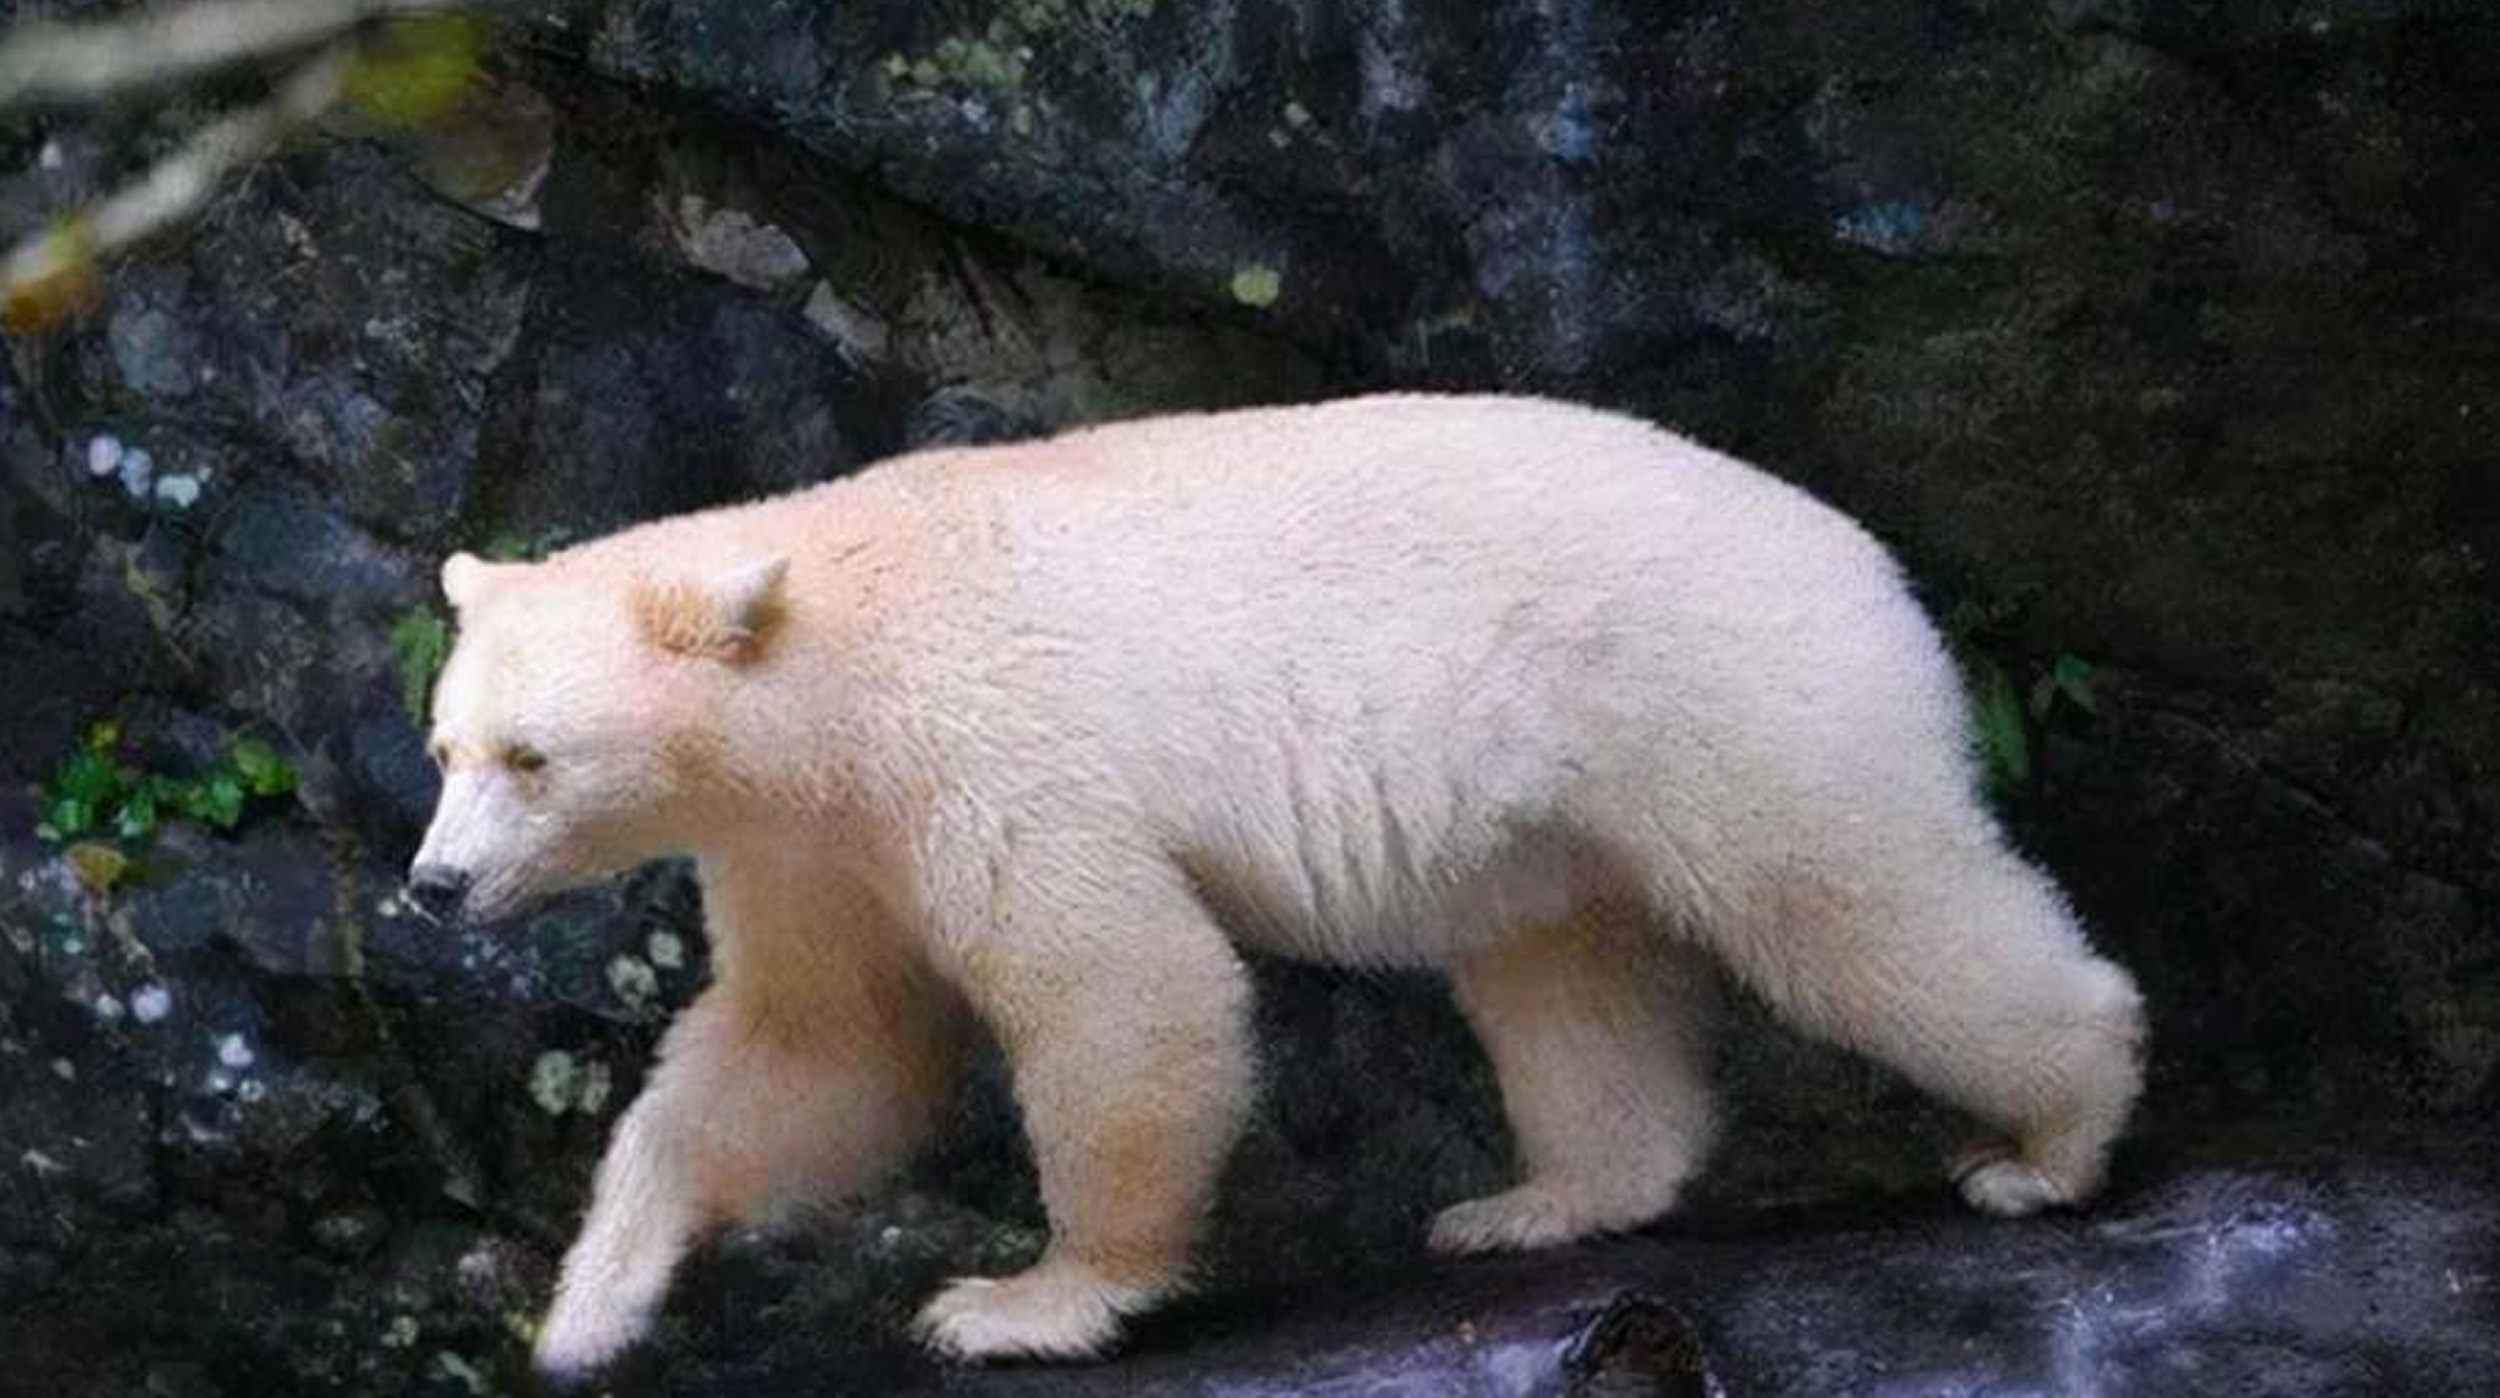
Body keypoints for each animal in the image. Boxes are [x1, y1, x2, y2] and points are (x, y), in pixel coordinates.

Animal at [405, 393, 2146, 1379]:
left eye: (533, 756)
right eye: (444, 744)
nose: (431, 884)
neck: (833, 648)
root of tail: (1869, 560)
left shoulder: (983, 750)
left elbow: (1121, 985)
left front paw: (1022, 1301)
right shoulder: (813, 845)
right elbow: (816, 1044)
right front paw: (589, 1306)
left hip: (1725, 689)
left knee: (1854, 899)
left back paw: (2050, 1137)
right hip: (1561, 796)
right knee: (1564, 965)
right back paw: (1537, 1200)